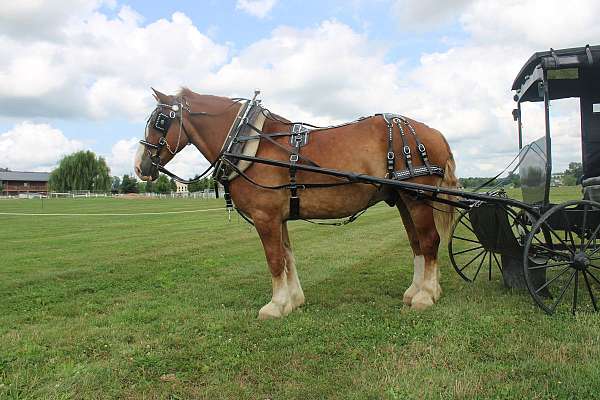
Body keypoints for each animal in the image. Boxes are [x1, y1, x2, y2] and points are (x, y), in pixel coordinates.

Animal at [134, 87, 458, 318]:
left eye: (159, 122)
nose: (139, 167)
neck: (249, 144)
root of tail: (435, 133)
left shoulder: (265, 217)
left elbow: (274, 260)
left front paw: (275, 306)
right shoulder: (278, 218)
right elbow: (287, 257)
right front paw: (292, 301)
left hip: (417, 199)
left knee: (429, 241)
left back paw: (426, 295)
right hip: (404, 199)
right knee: (416, 244)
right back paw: (415, 291)